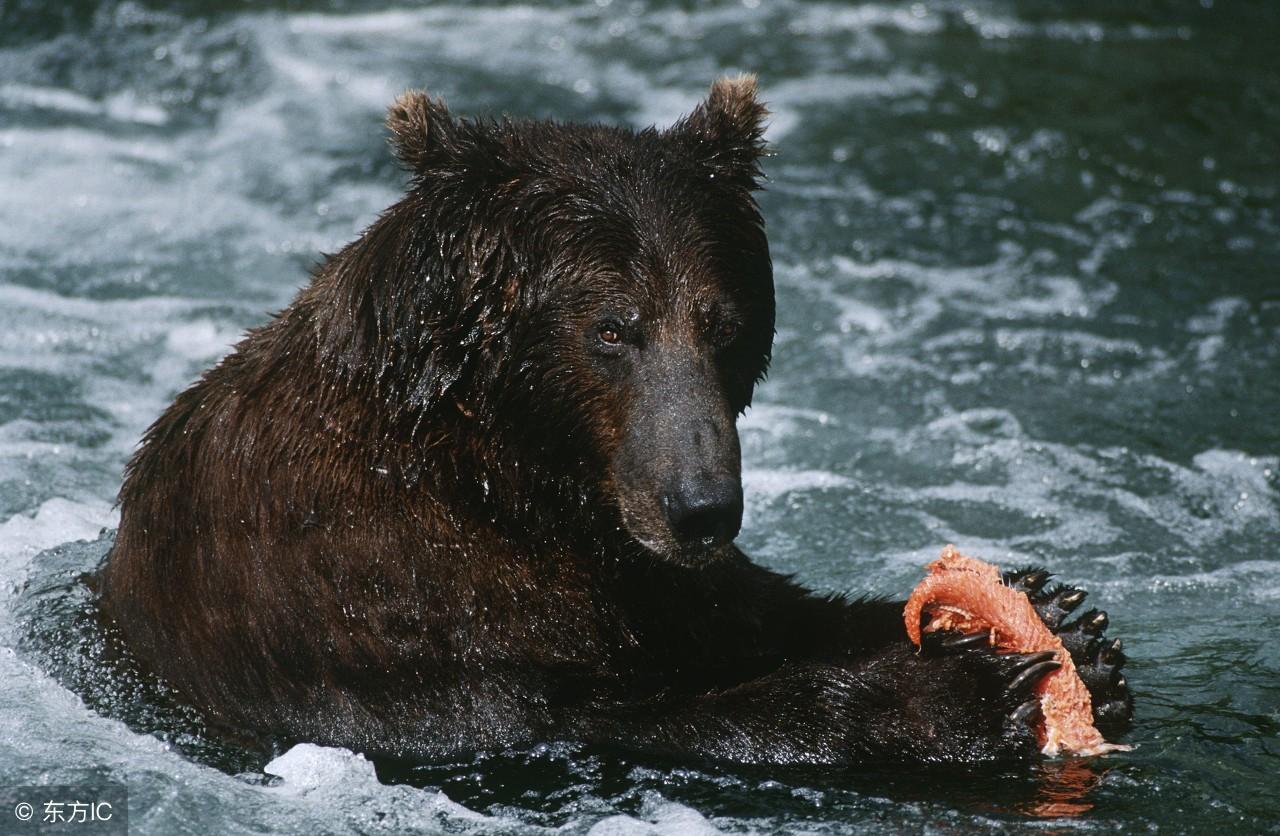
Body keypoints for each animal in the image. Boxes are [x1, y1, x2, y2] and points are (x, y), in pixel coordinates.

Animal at [99, 78, 1131, 763]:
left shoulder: (645, 569)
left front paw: (1067, 626)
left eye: (722, 321)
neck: (510, 470)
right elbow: (590, 714)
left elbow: (760, 612)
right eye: (611, 327)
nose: (702, 508)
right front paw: (952, 693)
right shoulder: (376, 596)